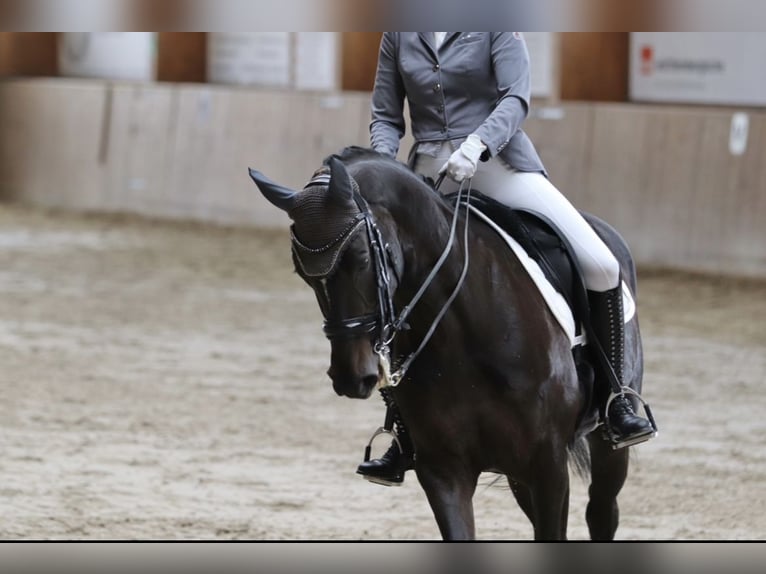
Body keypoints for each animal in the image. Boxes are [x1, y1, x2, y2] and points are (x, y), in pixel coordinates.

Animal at [250, 147, 648, 540]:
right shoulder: (444, 471)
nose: (350, 377)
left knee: (602, 511)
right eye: (302, 272)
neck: (467, 331)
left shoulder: (547, 465)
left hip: (605, 445)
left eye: (361, 257)